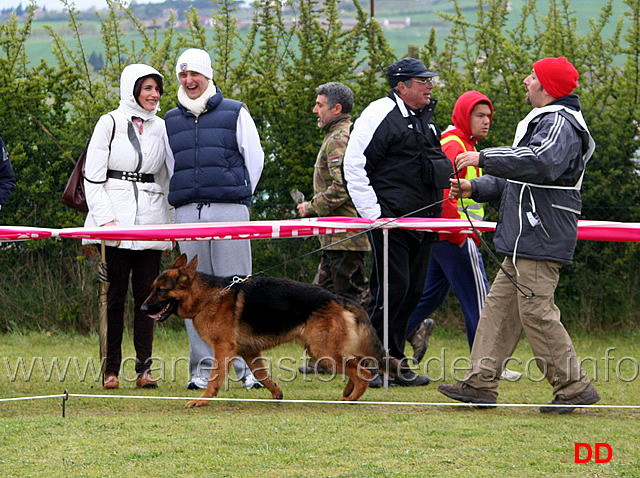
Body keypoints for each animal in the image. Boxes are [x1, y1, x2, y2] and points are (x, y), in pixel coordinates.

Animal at [142, 254, 398, 408]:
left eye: (160, 290)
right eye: (152, 288)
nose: (143, 309)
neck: (209, 296)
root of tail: (339, 299)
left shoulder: (223, 349)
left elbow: (215, 377)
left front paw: (202, 401)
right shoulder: (249, 352)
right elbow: (263, 376)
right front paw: (277, 394)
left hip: (324, 352)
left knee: (362, 372)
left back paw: (352, 398)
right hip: (324, 352)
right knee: (358, 366)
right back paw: (348, 393)